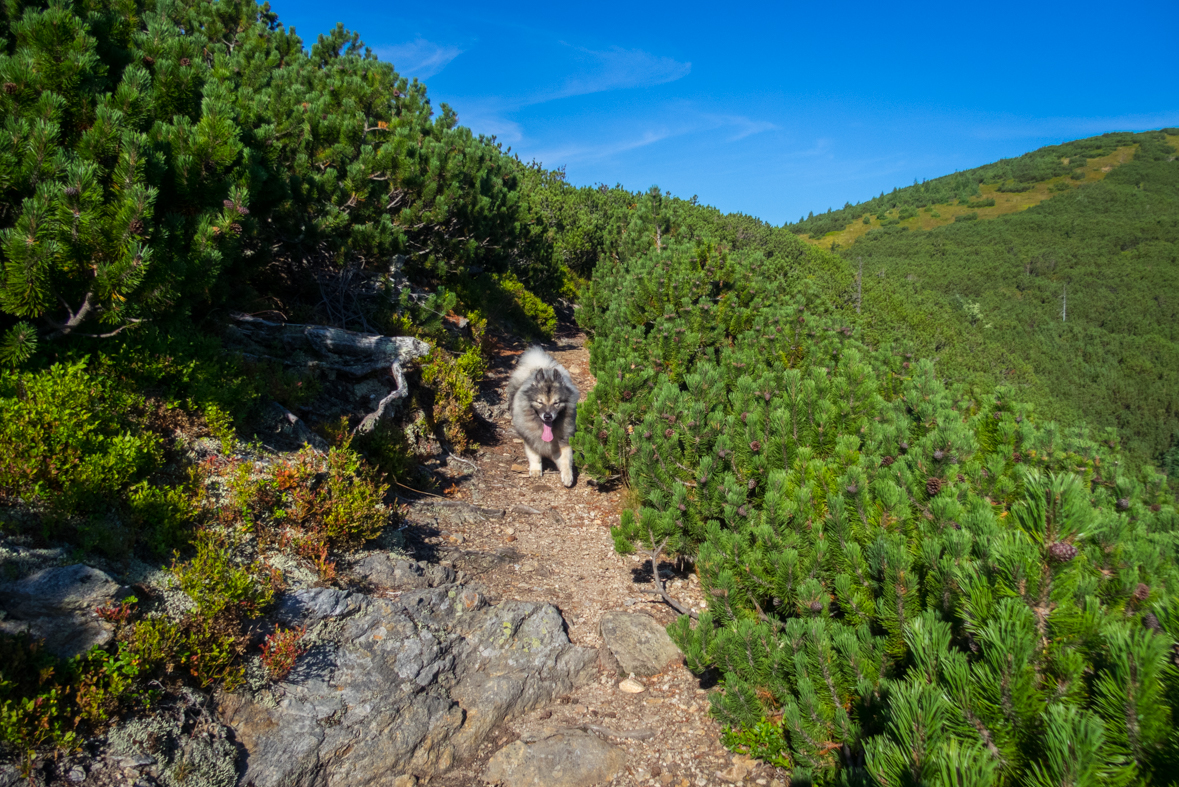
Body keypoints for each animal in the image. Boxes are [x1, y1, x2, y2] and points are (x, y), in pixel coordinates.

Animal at [506, 346, 580, 485]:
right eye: (540, 402)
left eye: (556, 403)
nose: (548, 416)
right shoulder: (531, 439)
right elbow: (535, 456)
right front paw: (535, 470)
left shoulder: (563, 441)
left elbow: (566, 460)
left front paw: (568, 476)